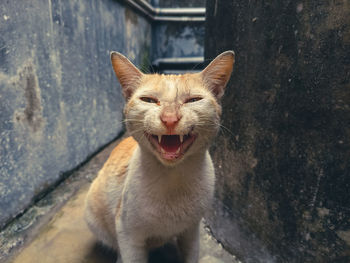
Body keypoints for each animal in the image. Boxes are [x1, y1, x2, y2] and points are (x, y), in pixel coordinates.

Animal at [83, 50, 234, 263]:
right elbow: (130, 254)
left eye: (193, 100)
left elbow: (191, 255)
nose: (169, 119)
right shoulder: (129, 236)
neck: (173, 180)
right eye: (148, 100)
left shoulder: (191, 231)